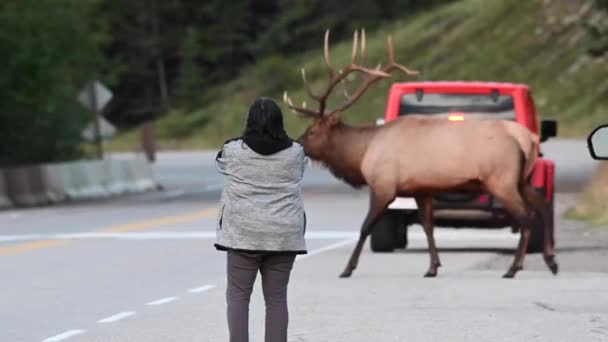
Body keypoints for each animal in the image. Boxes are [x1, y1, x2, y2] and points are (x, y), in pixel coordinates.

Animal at [282, 27, 560, 278]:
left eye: (312, 131)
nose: (296, 143)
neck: (362, 155)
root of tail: (527, 138)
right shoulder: (421, 189)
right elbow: (428, 227)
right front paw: (433, 267)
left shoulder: (384, 184)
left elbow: (365, 227)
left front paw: (348, 269)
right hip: (522, 178)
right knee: (543, 208)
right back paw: (551, 261)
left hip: (501, 179)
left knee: (526, 217)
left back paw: (514, 268)